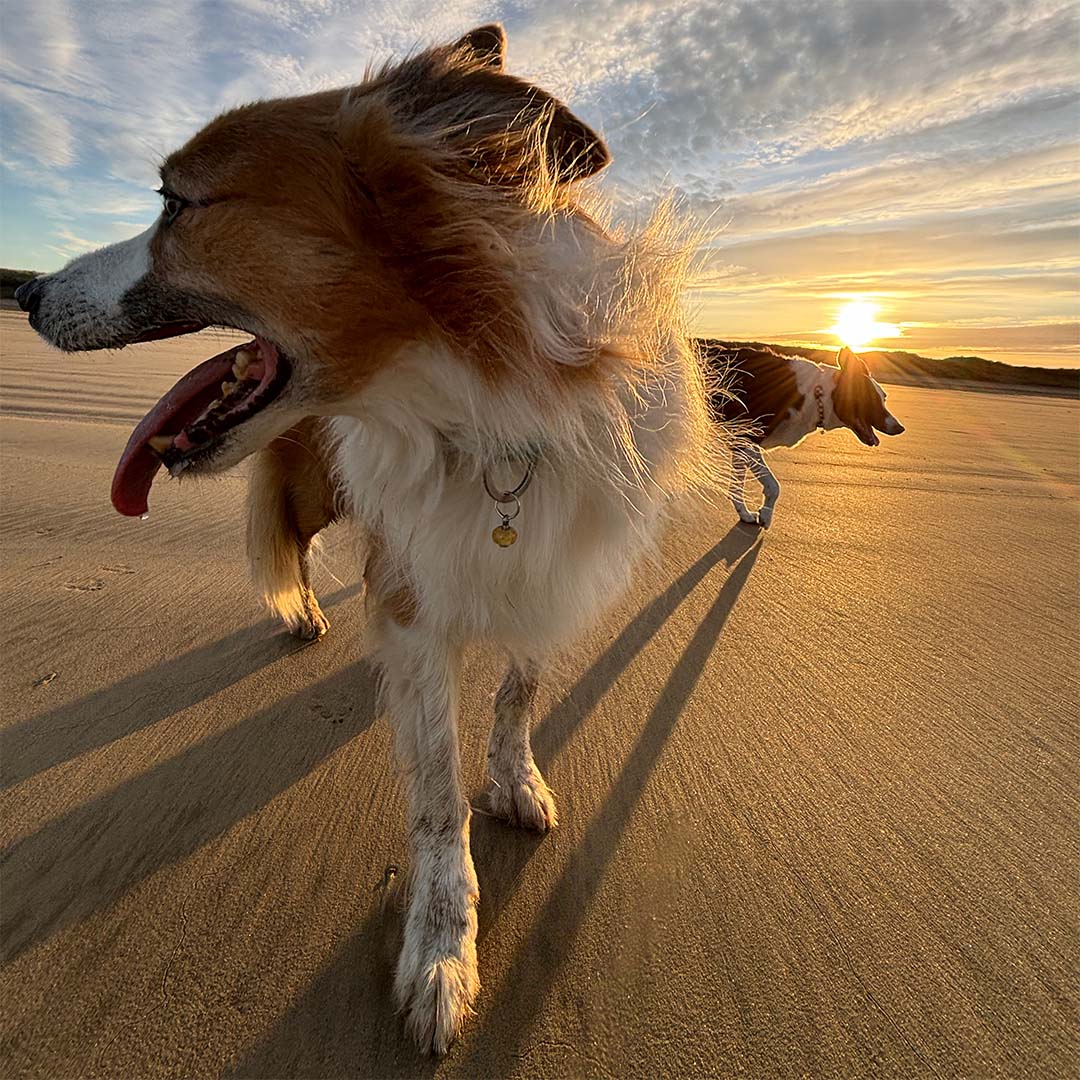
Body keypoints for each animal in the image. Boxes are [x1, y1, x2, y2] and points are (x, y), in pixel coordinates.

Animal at [16, 23, 730, 1054]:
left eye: (177, 205)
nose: (26, 292)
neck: (483, 411)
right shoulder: (417, 597)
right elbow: (435, 801)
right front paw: (441, 952)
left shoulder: (551, 575)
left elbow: (518, 692)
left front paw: (514, 778)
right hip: (317, 491)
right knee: (296, 545)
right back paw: (304, 612)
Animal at [699, 345, 902, 527]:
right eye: (872, 399)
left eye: (884, 397)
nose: (900, 428)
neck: (817, 395)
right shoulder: (744, 439)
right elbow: (773, 486)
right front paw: (765, 515)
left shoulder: (740, 442)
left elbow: (738, 484)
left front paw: (745, 513)